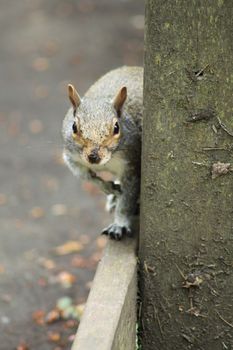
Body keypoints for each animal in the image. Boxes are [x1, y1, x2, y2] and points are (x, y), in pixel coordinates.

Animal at [62, 66, 142, 241]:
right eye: (74, 127)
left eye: (117, 128)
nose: (93, 157)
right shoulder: (72, 157)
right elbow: (86, 176)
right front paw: (106, 187)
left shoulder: (132, 165)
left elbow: (127, 199)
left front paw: (119, 225)